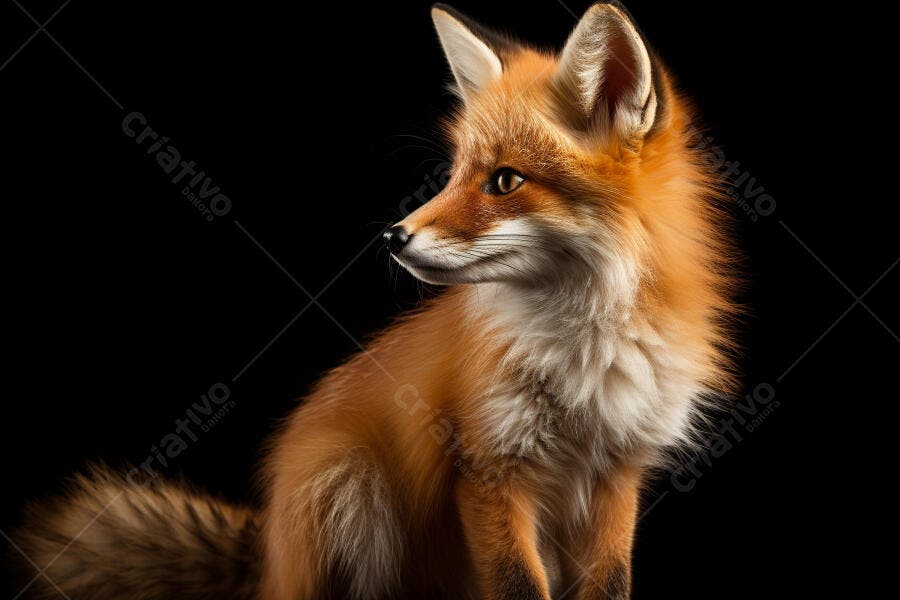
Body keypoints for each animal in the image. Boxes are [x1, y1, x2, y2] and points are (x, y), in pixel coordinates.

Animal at [15, 3, 739, 599]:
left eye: (505, 181)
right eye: (453, 174)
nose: (393, 237)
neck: (584, 350)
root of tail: (269, 554)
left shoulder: (618, 474)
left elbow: (610, 585)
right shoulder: (489, 471)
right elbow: (517, 586)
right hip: (348, 486)